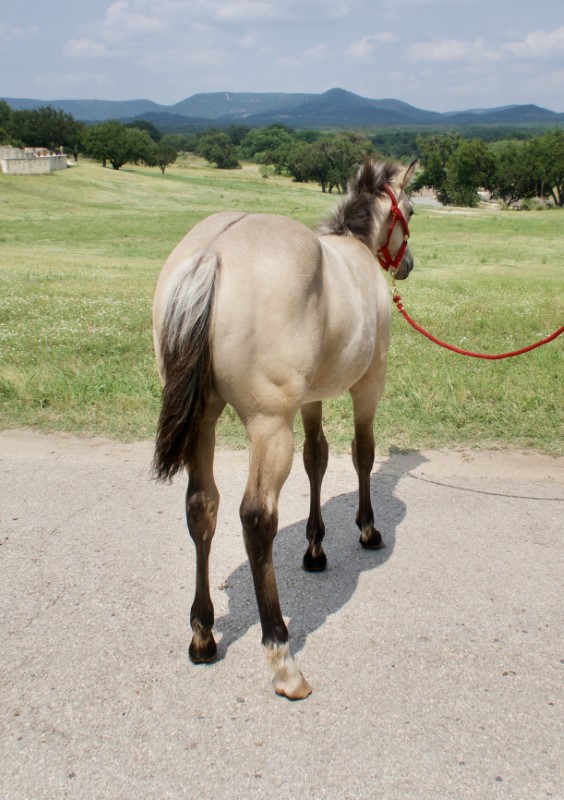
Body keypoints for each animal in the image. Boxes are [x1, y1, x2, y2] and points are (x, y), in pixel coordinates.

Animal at [152, 159, 416, 696]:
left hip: (205, 421)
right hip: (270, 428)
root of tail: (211, 254)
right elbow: (362, 452)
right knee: (256, 518)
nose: (408, 265)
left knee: (201, 507)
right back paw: (281, 654)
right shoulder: (369, 386)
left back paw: (203, 635)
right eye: (413, 211)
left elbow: (318, 458)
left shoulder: (310, 399)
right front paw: (367, 529)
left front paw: (315, 548)